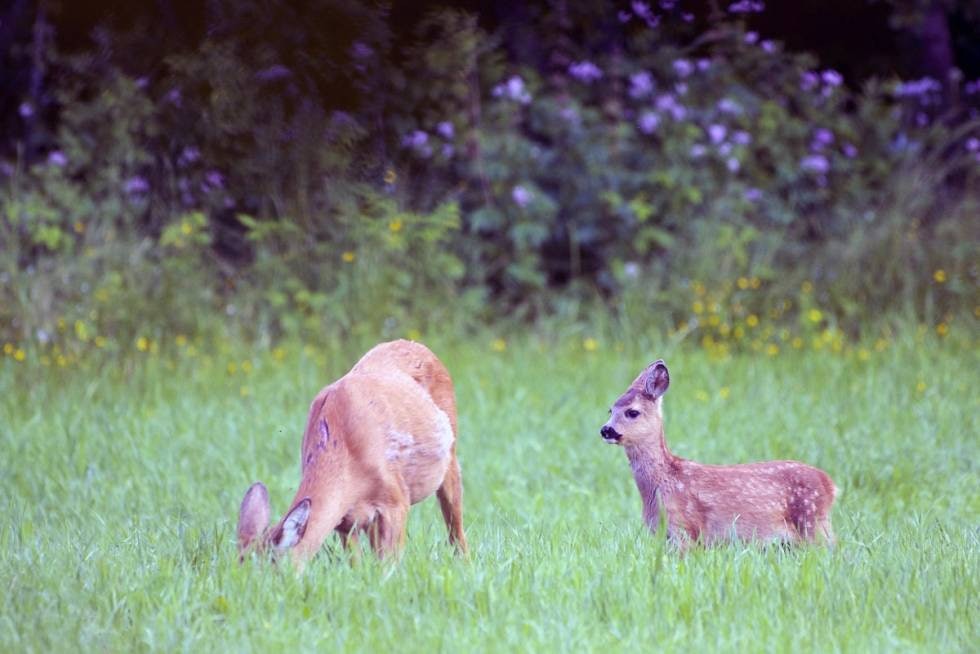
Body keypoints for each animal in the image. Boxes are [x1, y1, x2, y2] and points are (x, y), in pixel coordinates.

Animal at [236, 340, 468, 568]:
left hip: (451, 456)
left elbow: (391, 564)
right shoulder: (346, 521)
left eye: (272, 569)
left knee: (456, 527)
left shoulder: (396, 500)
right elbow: (357, 563)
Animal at [600, 362, 840, 552]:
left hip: (812, 521)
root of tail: (830, 485)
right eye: (610, 410)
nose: (606, 430)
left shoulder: (684, 528)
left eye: (632, 412)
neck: (663, 482)